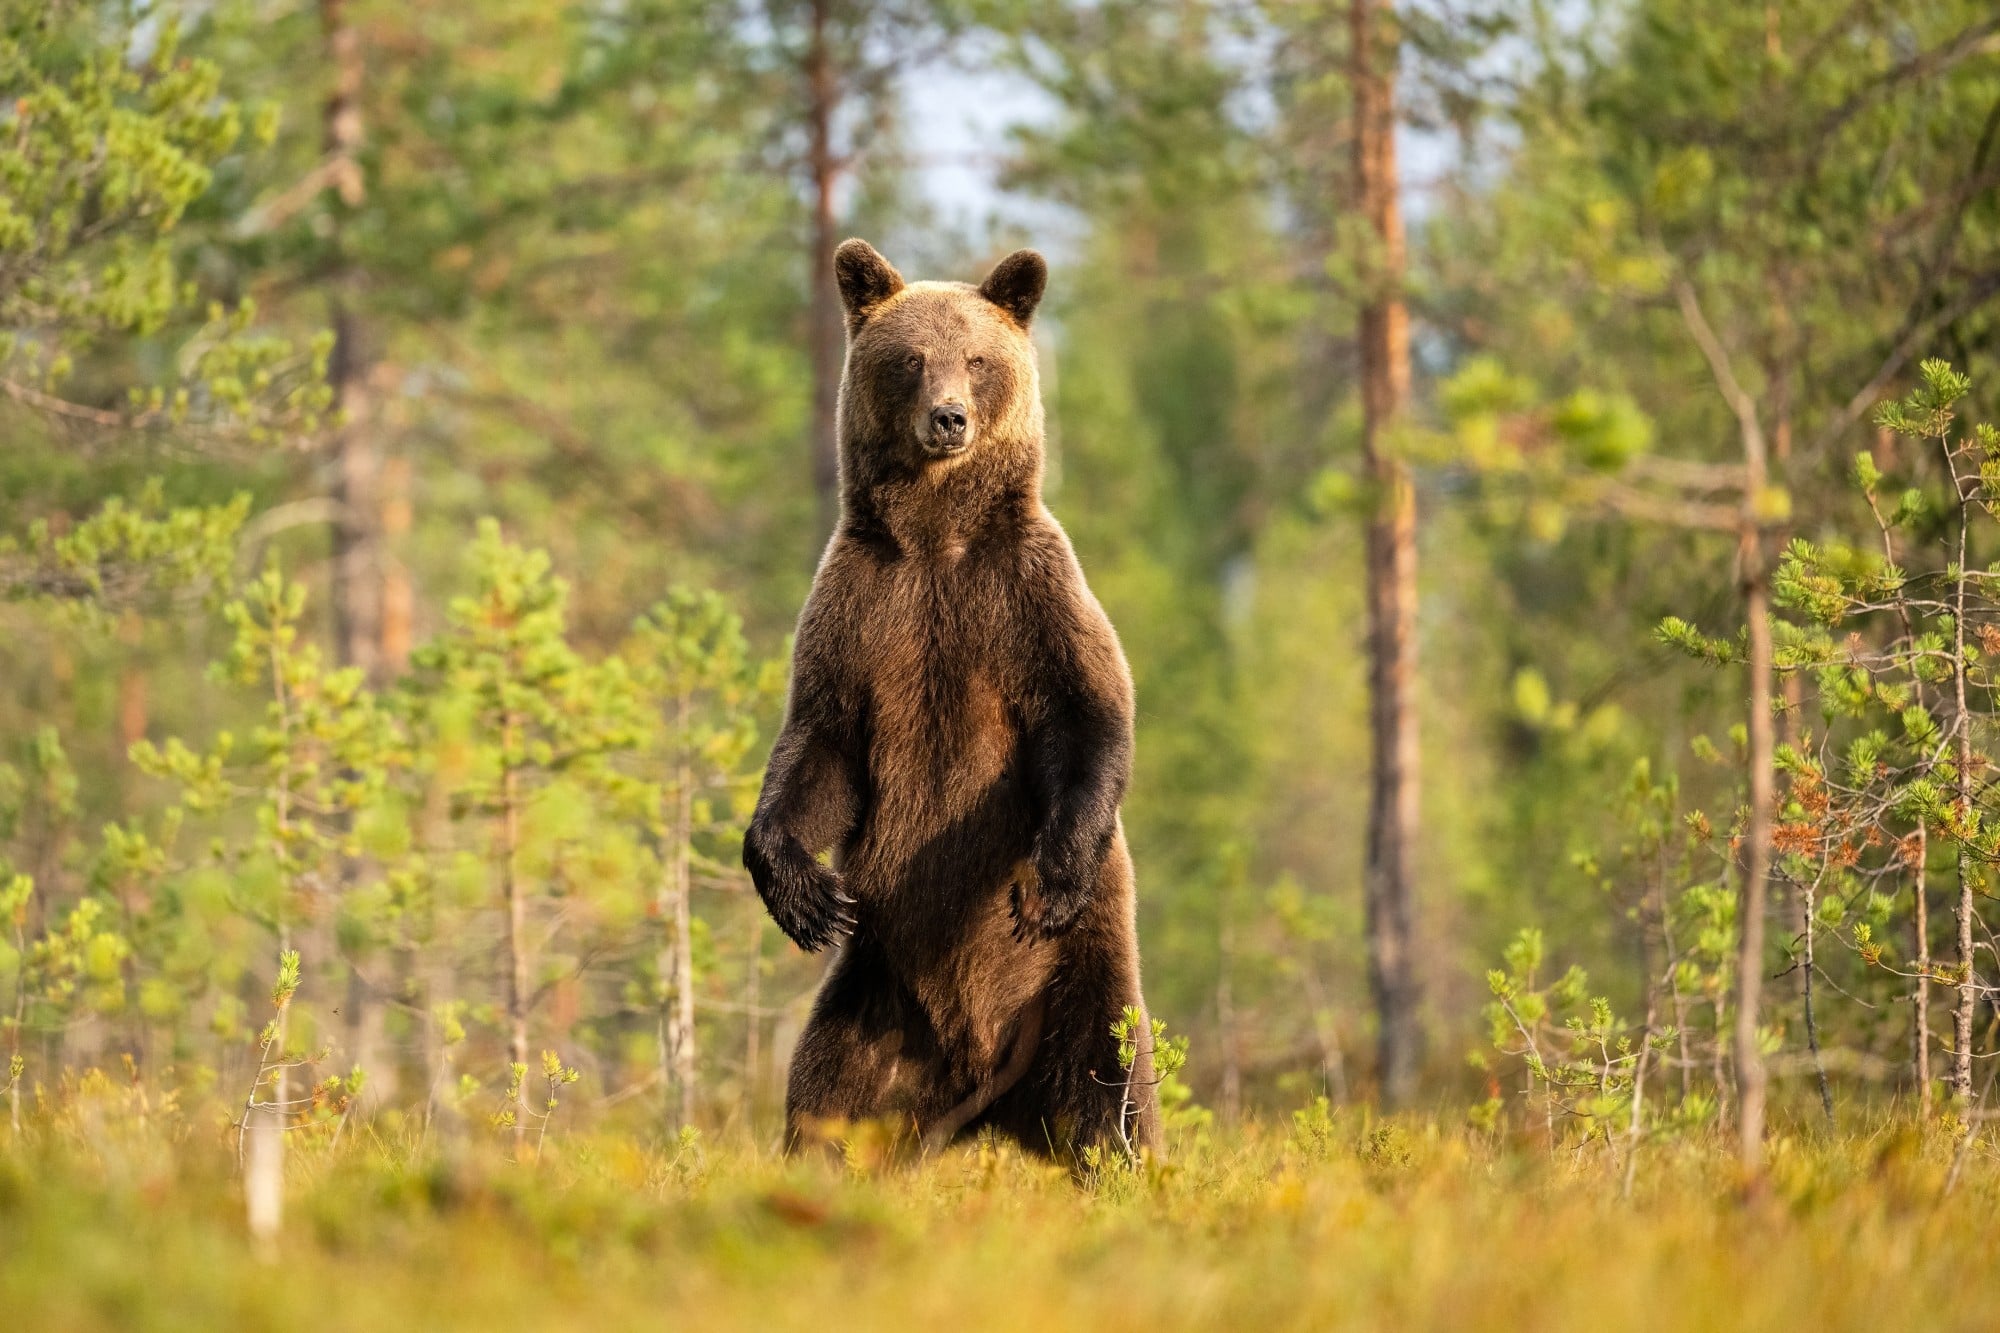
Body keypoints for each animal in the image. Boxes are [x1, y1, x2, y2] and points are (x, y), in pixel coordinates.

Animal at [743, 238, 1162, 1162]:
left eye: (976, 358)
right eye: (909, 359)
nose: (949, 419)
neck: (936, 539)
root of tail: (986, 1093)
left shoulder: (1024, 596)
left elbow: (1089, 713)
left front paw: (1048, 878)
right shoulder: (862, 610)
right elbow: (820, 749)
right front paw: (803, 894)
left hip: (1083, 976)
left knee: (1108, 1091)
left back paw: (1125, 1158)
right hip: (874, 997)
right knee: (825, 1097)